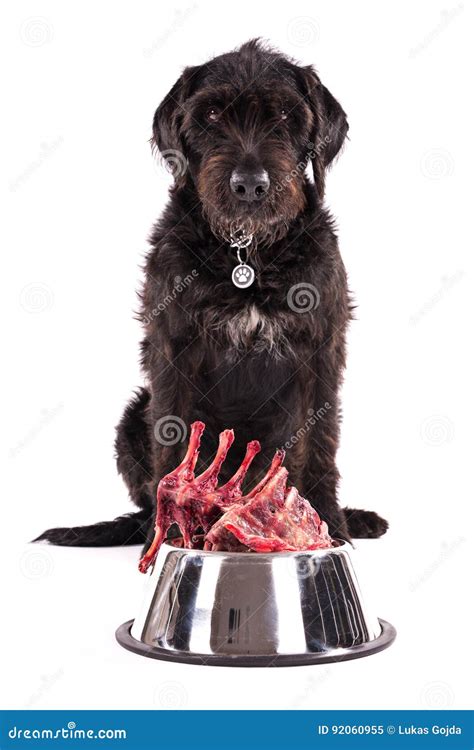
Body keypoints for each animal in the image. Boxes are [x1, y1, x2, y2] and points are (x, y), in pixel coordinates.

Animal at [35, 39, 386, 552]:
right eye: (213, 113)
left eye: (285, 114)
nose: (250, 186)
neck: (247, 253)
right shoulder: (174, 349)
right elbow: (174, 437)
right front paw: (170, 539)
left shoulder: (320, 351)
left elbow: (319, 440)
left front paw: (329, 525)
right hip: (131, 416)